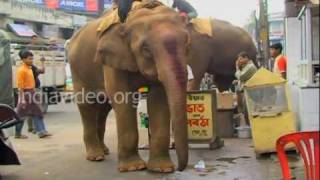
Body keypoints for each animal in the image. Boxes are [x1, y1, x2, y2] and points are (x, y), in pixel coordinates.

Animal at [67, 4, 190, 172]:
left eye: (187, 42)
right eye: (146, 49)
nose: (179, 168)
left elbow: (159, 100)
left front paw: (161, 169)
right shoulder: (110, 59)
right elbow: (122, 98)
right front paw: (133, 167)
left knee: (104, 108)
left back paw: (104, 150)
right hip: (77, 69)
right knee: (87, 104)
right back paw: (96, 156)